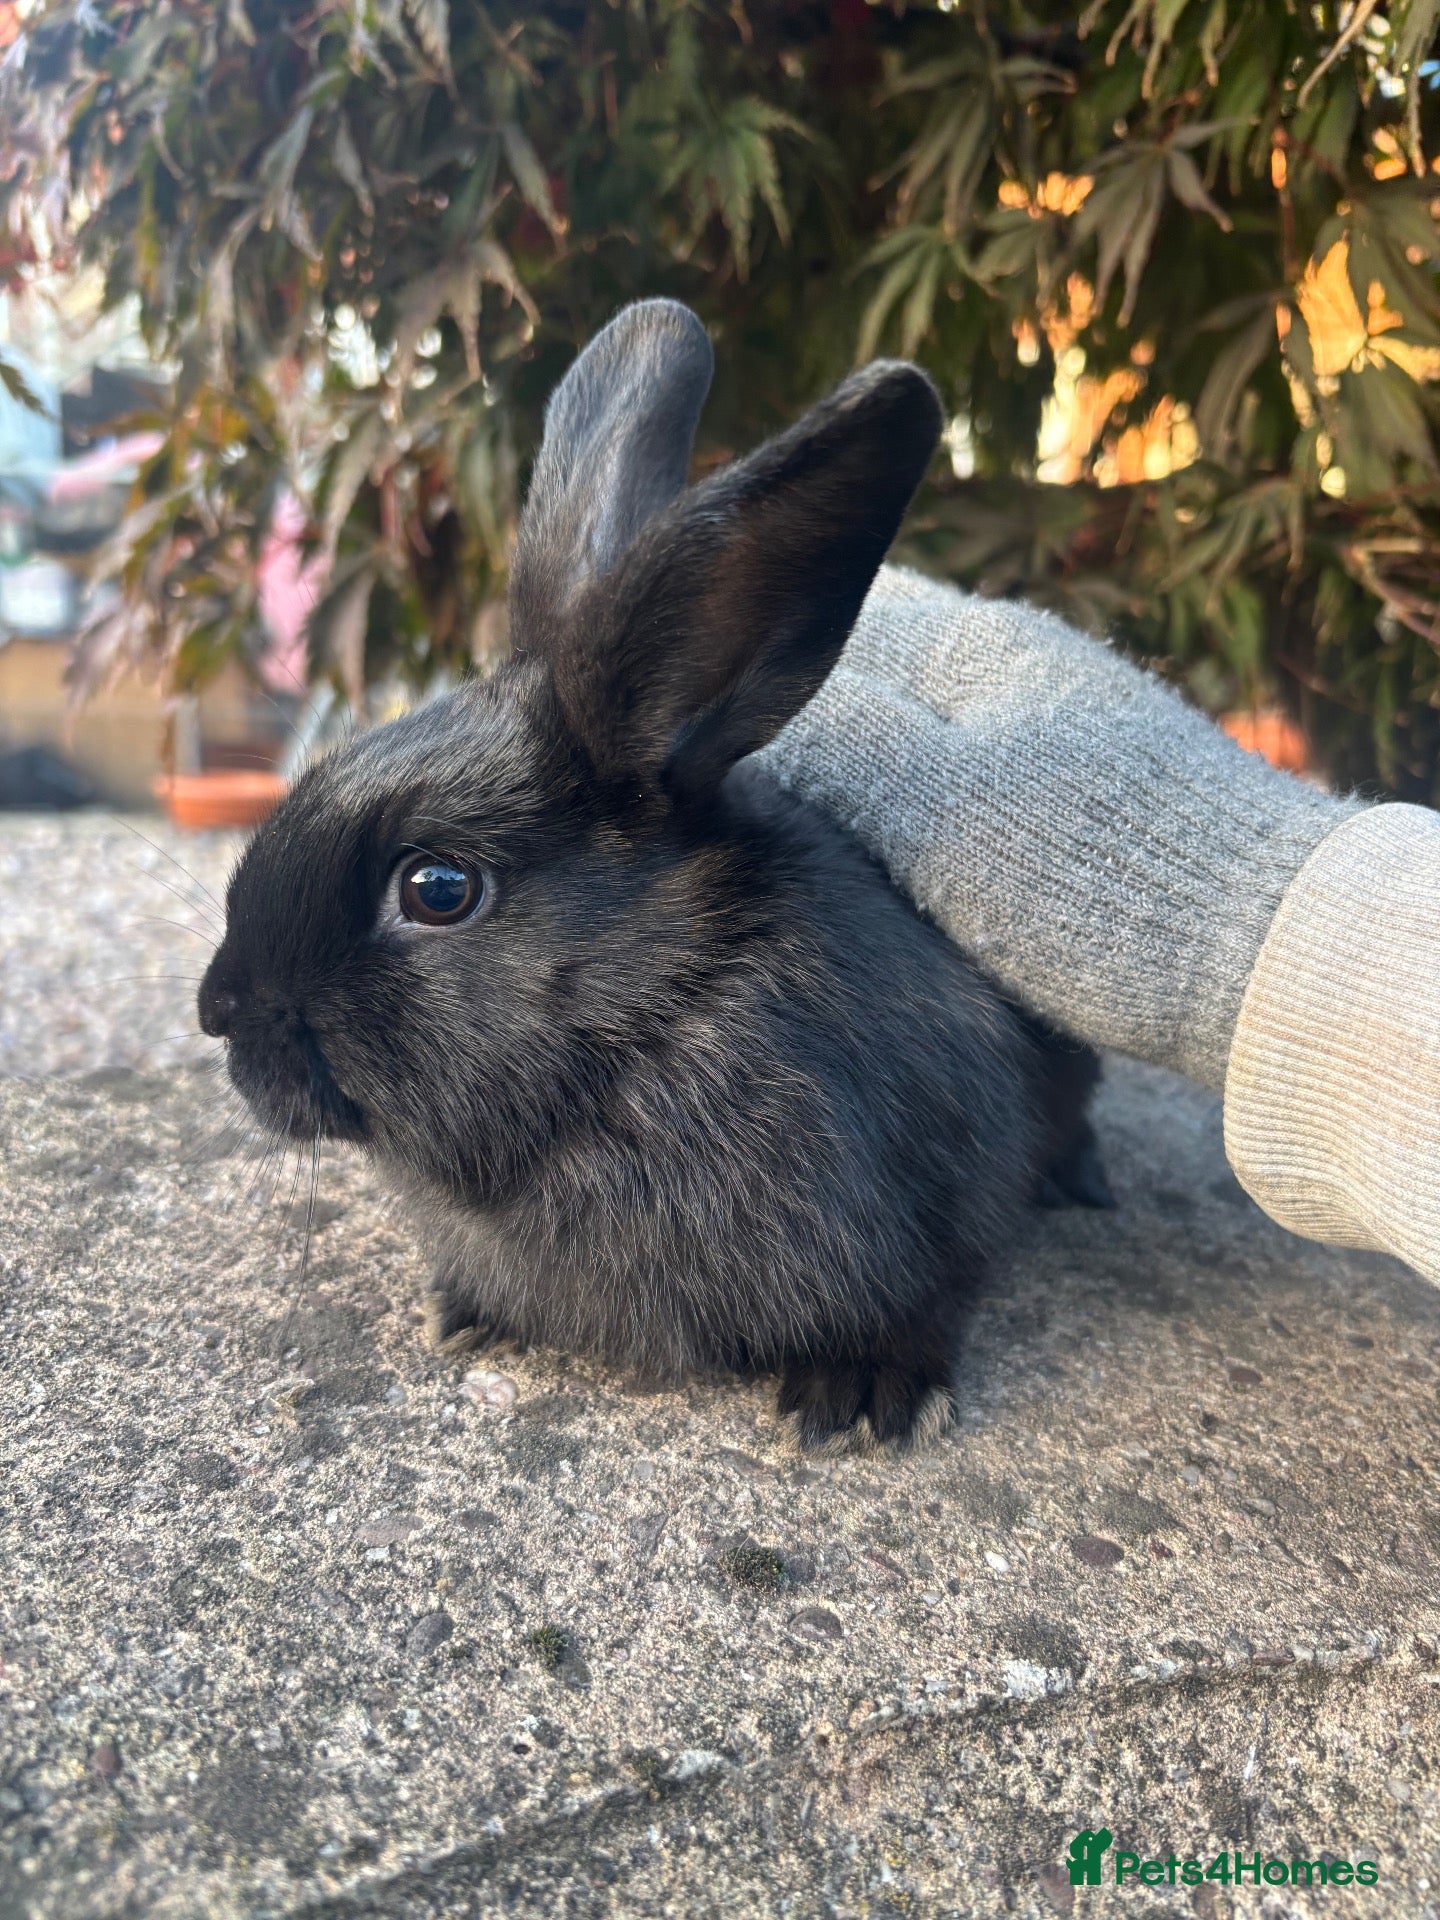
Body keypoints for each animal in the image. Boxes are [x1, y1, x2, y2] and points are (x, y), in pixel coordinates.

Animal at [198, 299, 1111, 1453]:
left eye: (437, 890)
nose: (218, 1010)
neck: (658, 1015)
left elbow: (933, 1293)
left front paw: (865, 1398)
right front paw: (464, 1313)